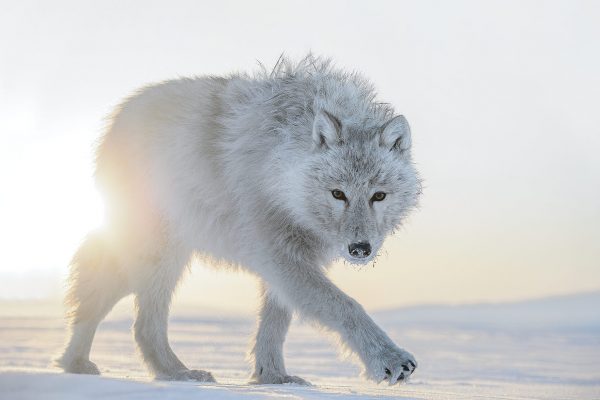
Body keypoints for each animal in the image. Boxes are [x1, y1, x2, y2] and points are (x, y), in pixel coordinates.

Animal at [56, 54, 422, 386]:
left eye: (378, 196)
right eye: (338, 194)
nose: (360, 249)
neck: (282, 166)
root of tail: (120, 114)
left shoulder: (289, 259)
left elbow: (275, 325)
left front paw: (274, 378)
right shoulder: (277, 253)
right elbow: (346, 305)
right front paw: (389, 359)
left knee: (97, 299)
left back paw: (75, 363)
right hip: (159, 257)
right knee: (141, 323)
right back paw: (177, 373)